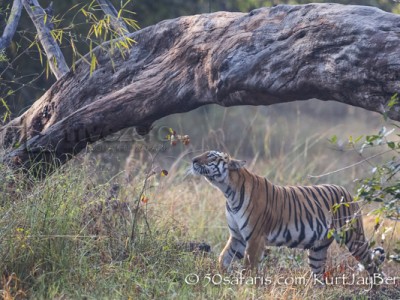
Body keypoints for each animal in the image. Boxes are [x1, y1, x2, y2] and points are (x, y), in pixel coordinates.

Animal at [192, 151, 386, 278]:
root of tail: (348, 191)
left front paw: (245, 287)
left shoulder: (255, 238)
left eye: (211, 156)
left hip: (353, 237)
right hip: (317, 249)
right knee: (319, 276)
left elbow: (249, 268)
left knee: (372, 265)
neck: (228, 191)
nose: (193, 160)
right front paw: (222, 277)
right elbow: (223, 258)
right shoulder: (238, 237)